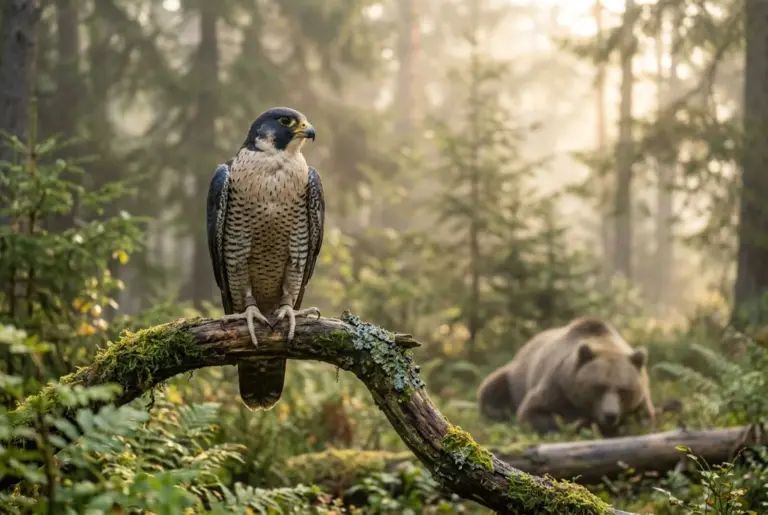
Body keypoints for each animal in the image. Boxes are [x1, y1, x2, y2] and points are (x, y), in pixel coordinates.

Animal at [476, 316, 655, 437]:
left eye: (623, 390)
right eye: (599, 387)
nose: (610, 415)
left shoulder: (641, 401)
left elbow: (644, 420)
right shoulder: (558, 387)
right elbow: (533, 413)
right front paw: (584, 423)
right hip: (512, 379)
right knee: (492, 389)